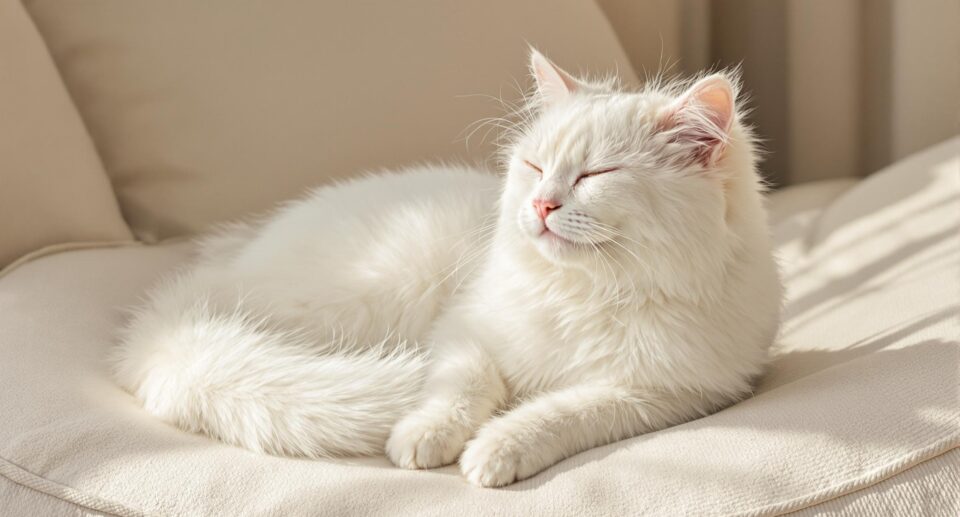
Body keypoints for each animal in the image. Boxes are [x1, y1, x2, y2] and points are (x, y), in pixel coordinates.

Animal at [114, 51, 788, 488]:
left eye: (597, 176)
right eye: (535, 166)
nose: (541, 206)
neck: (589, 293)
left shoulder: (664, 395)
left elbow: (560, 413)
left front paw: (495, 452)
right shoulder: (466, 330)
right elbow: (459, 389)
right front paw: (425, 440)